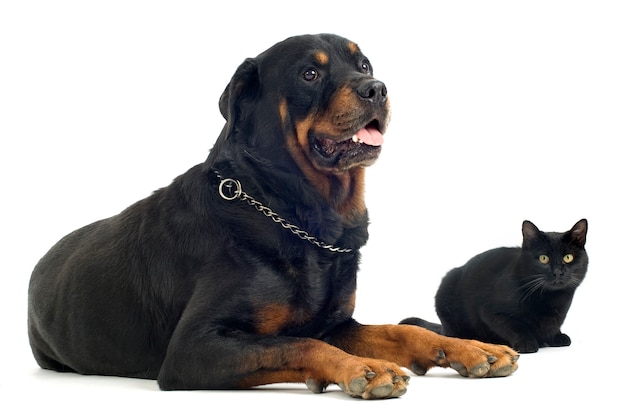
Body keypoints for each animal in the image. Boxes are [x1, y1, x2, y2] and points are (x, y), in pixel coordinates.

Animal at [28, 32, 516, 396]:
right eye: (310, 73)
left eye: (363, 65)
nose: (376, 88)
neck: (301, 218)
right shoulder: (192, 349)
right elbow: (295, 344)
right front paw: (365, 369)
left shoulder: (337, 322)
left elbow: (403, 331)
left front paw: (473, 349)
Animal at [402, 219, 588, 352]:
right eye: (543, 258)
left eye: (568, 258)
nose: (558, 272)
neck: (552, 300)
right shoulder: (492, 313)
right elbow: (515, 326)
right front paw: (527, 342)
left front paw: (556, 336)